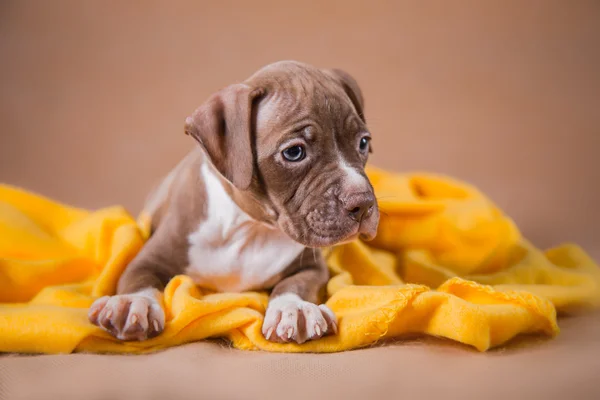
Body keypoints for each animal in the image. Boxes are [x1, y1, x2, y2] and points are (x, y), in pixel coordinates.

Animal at [88, 60, 380, 344]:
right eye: (294, 152)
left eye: (363, 142)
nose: (363, 203)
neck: (249, 228)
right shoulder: (149, 258)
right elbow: (139, 279)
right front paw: (133, 303)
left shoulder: (312, 267)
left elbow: (294, 285)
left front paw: (293, 308)